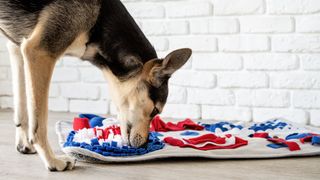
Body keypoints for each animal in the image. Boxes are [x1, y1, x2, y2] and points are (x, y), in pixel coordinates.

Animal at [0, 0, 190, 172]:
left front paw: (24, 143)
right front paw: (52, 161)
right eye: (155, 111)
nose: (144, 145)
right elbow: (39, 123)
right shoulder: (39, 51)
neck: (100, 18)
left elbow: (22, 109)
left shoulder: (17, 48)